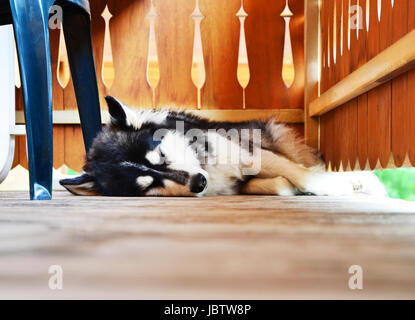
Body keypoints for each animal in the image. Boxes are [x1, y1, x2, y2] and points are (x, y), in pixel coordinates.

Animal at [60, 95, 388, 198]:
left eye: (162, 154)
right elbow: (279, 183)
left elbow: (301, 173)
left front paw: (329, 186)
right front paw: (287, 187)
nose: (198, 182)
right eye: (148, 186)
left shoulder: (249, 152)